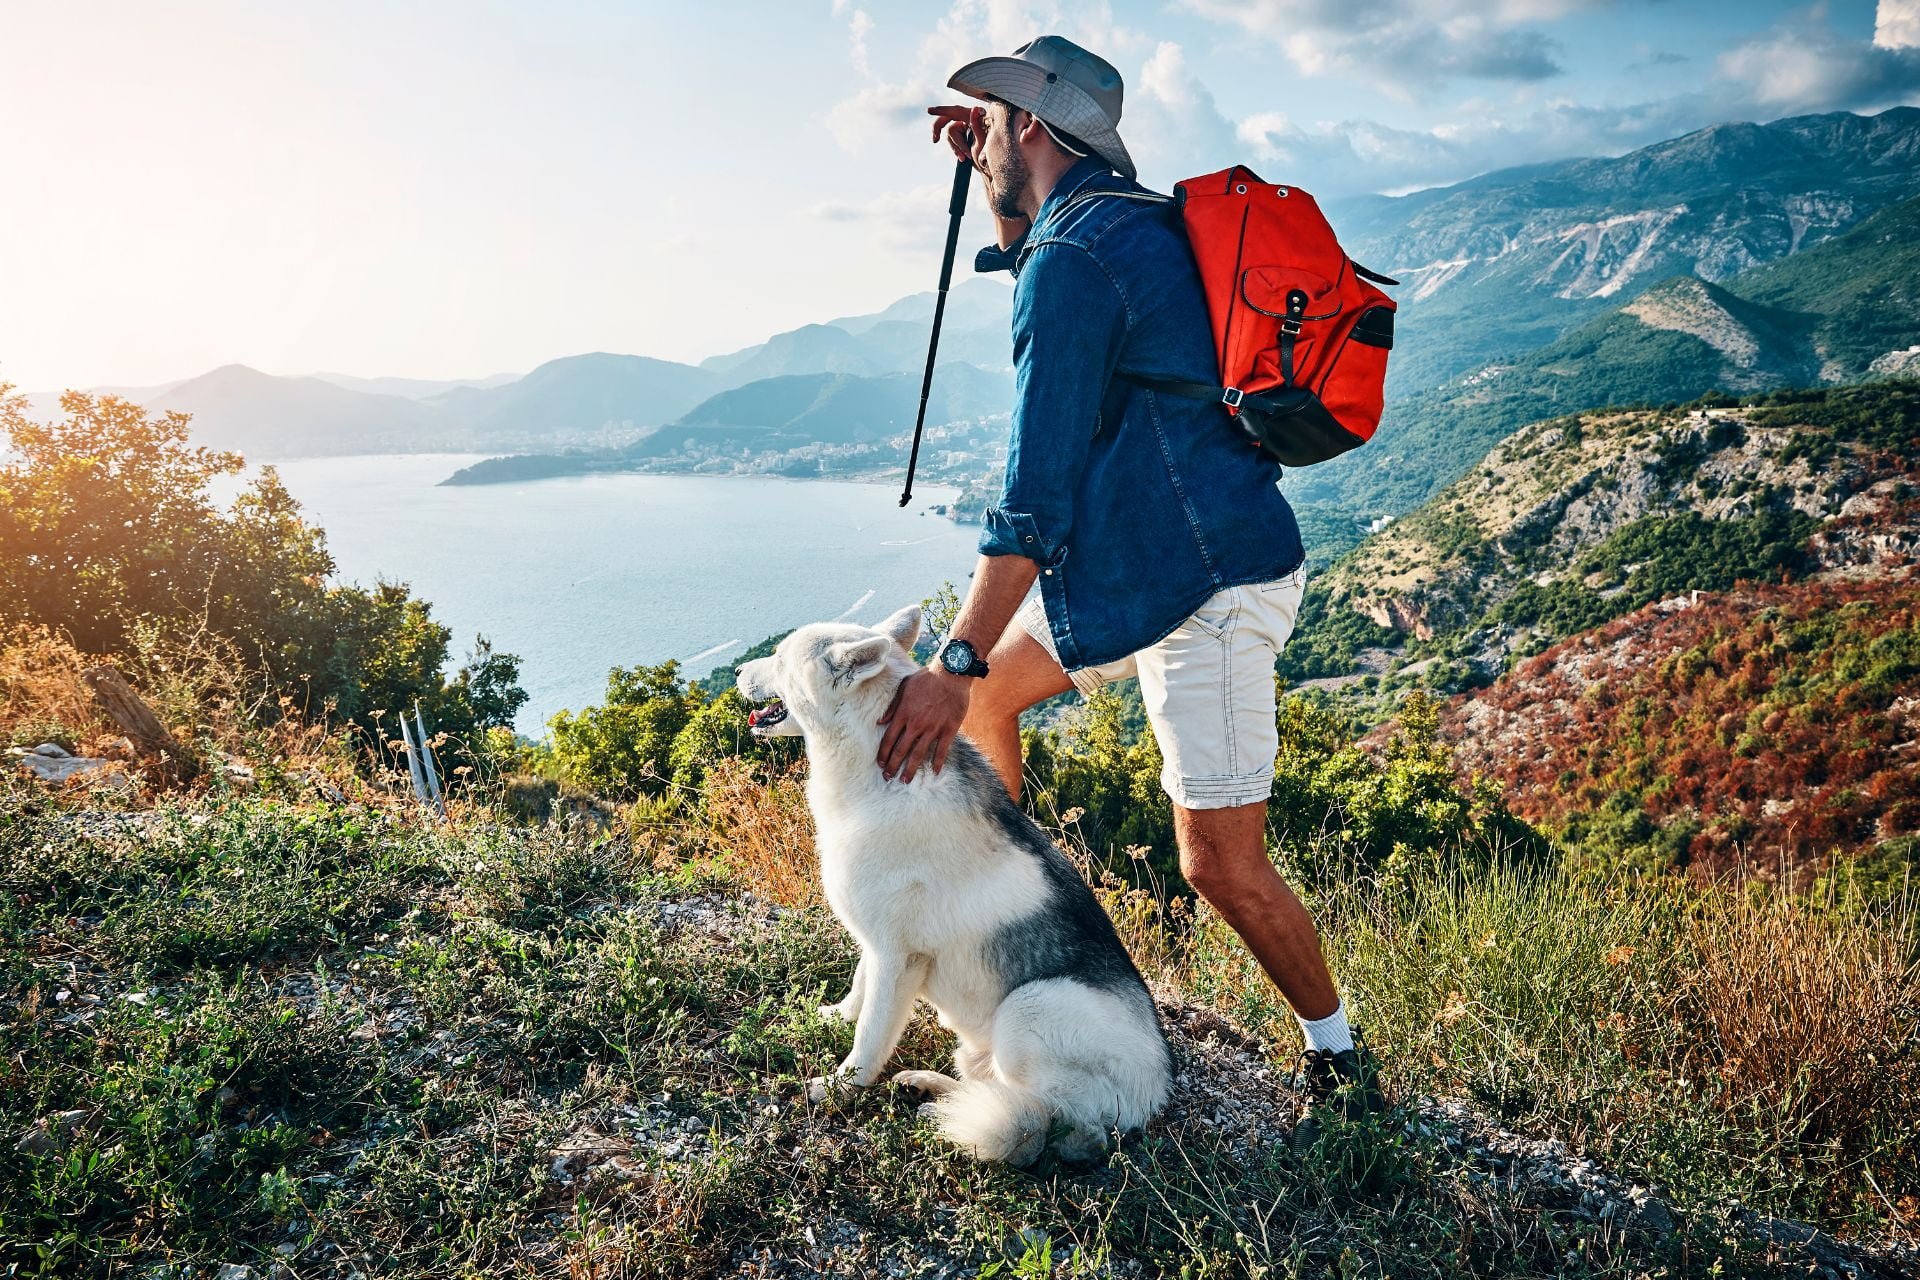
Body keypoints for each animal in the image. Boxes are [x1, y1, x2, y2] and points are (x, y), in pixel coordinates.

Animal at [733, 606, 1167, 1166]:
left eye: (781, 658)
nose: (738, 672)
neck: (869, 767)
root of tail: (1153, 1096)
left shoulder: (899, 957)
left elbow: (870, 1036)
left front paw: (839, 1088)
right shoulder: (877, 945)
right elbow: (859, 993)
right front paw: (834, 1017)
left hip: (1028, 1009)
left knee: (1050, 1122)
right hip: (985, 1045)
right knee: (990, 1086)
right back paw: (930, 1090)